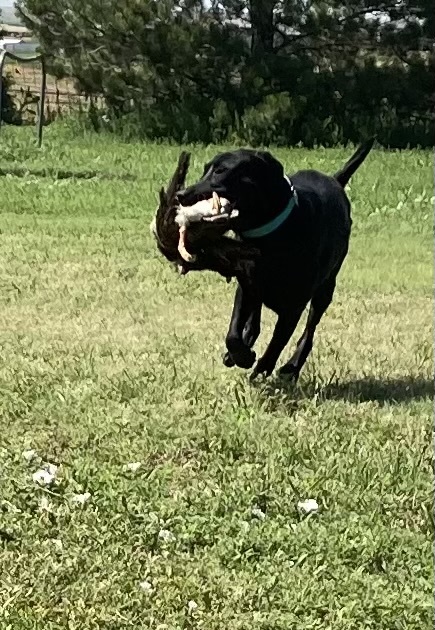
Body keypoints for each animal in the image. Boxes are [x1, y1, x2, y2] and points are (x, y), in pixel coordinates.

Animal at [177, 142, 374, 380]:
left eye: (221, 171)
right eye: (205, 169)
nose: (180, 194)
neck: (269, 235)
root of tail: (335, 179)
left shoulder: (294, 306)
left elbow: (278, 342)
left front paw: (262, 367)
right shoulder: (246, 284)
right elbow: (233, 332)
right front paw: (241, 354)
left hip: (326, 288)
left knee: (309, 331)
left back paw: (292, 366)